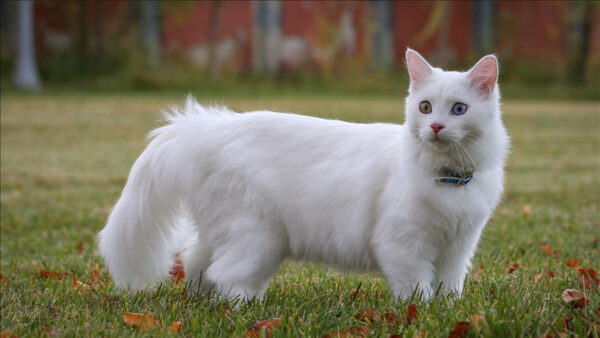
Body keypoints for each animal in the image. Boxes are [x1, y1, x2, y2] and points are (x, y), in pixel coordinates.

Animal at [99, 48, 510, 302]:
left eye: (459, 109)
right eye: (425, 107)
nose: (436, 126)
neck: (450, 178)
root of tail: (204, 130)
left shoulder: (458, 248)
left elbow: (449, 288)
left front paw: (447, 310)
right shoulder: (403, 245)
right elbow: (416, 291)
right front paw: (420, 314)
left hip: (227, 231)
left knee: (197, 263)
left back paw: (202, 299)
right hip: (256, 236)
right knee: (227, 275)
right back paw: (244, 308)